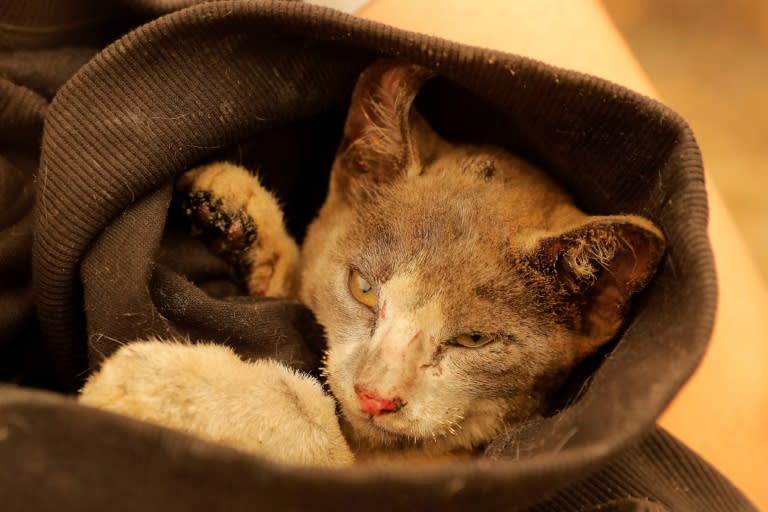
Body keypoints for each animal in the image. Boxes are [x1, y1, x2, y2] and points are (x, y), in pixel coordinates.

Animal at [79, 60, 664, 468]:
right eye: (362, 288)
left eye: (473, 340)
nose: (375, 397)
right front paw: (234, 210)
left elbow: (316, 420)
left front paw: (157, 387)